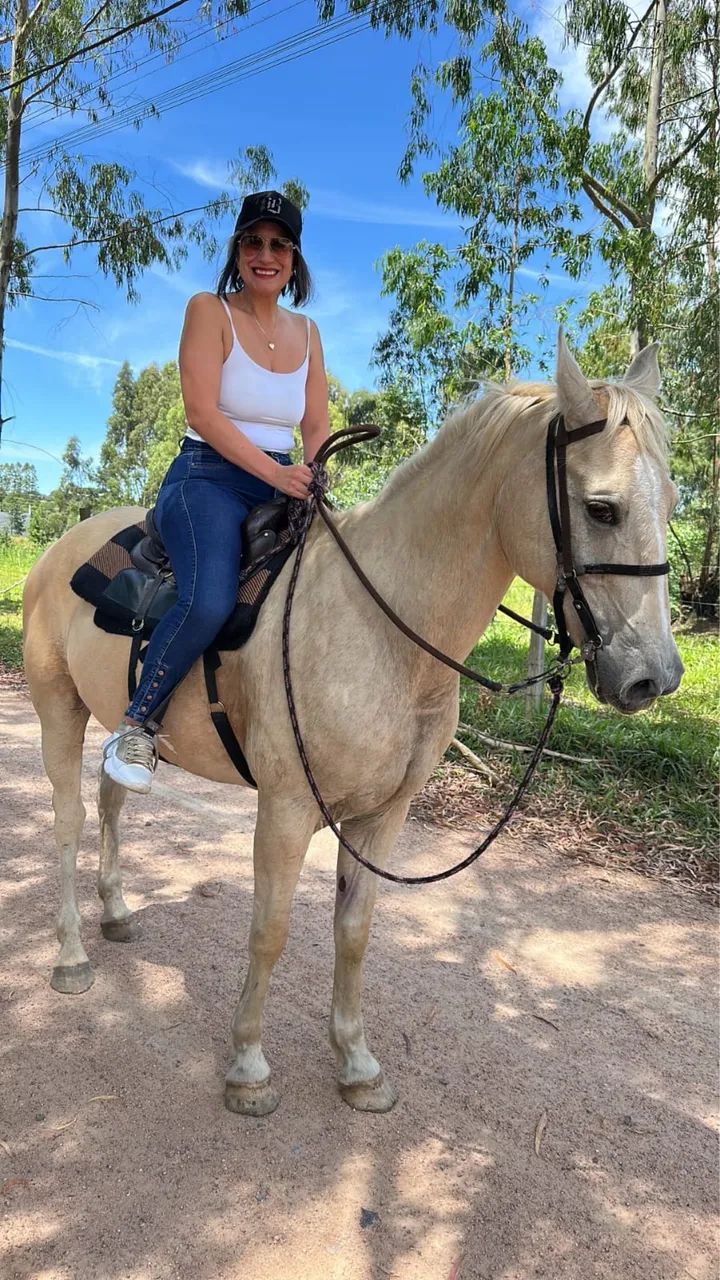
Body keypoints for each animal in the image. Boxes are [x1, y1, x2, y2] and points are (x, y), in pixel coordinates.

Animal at [22, 334, 683, 1116]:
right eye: (602, 509)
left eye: (673, 503)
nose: (654, 677)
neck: (386, 628)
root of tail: (59, 551)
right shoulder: (285, 809)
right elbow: (271, 930)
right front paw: (249, 1067)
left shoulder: (382, 815)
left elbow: (356, 930)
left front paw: (357, 1063)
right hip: (58, 709)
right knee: (67, 819)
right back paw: (71, 955)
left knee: (113, 796)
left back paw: (118, 911)